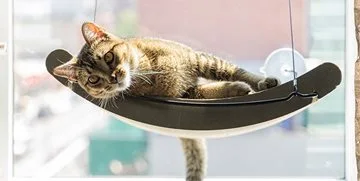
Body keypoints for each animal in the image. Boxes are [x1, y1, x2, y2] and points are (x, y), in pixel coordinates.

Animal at [53, 21, 280, 180]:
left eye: (109, 57)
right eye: (93, 79)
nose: (113, 78)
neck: (148, 68)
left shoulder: (200, 60)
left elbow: (237, 71)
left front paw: (261, 82)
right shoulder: (186, 94)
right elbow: (211, 90)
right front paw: (235, 89)